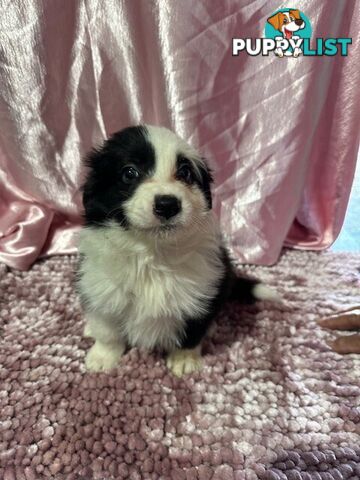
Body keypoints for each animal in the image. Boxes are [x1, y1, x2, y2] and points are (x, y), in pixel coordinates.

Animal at [78, 125, 276, 376]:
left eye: (185, 173)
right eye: (129, 173)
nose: (167, 204)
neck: (153, 253)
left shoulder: (204, 290)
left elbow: (192, 330)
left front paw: (184, 360)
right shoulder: (99, 287)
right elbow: (107, 329)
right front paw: (102, 357)